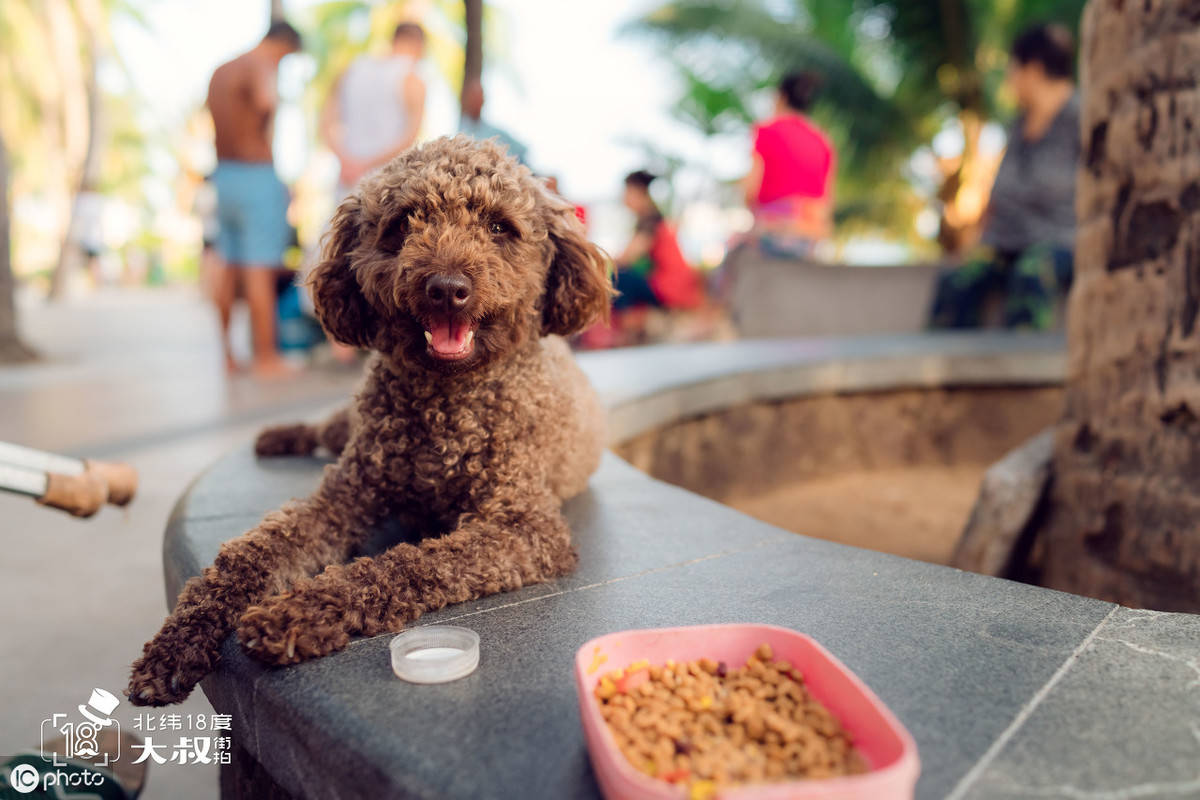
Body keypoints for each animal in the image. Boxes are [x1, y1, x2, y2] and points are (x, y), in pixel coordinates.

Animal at [127, 137, 614, 705]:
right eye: (403, 223)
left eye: (499, 227)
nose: (446, 287)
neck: (447, 404)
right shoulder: (345, 495)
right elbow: (251, 553)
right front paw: (176, 644)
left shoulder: (525, 526)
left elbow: (411, 563)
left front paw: (295, 614)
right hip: (351, 425)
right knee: (325, 429)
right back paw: (277, 436)